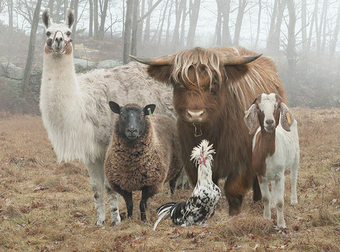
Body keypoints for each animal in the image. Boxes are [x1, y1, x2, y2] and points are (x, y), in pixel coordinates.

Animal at [130, 46, 286, 215]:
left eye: (214, 84)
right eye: (179, 84)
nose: (195, 114)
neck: (212, 132)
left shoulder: (243, 161)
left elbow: (234, 191)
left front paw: (234, 215)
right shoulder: (192, 161)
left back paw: (258, 200)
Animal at [243, 93, 298, 228]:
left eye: (277, 106)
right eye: (258, 107)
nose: (269, 122)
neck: (268, 152)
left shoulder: (280, 176)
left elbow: (280, 202)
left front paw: (281, 224)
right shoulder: (260, 175)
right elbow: (266, 198)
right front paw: (266, 218)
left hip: (296, 155)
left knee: (293, 177)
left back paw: (294, 201)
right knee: (272, 184)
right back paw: (272, 206)